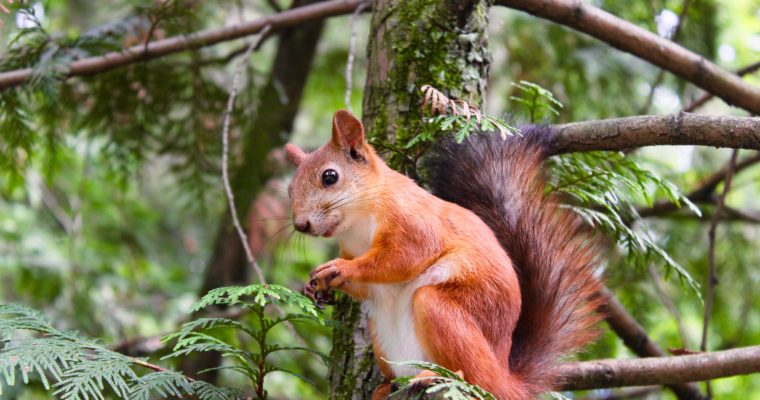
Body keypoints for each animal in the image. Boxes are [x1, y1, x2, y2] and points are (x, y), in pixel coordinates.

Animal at [284, 110, 604, 399]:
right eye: (289, 189)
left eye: (330, 176)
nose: (301, 225)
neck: (358, 222)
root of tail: (505, 377)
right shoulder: (353, 249)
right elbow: (368, 286)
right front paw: (317, 286)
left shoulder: (414, 223)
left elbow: (402, 258)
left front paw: (339, 269)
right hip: (382, 337)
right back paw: (386, 387)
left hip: (444, 310)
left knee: (471, 374)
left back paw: (435, 376)